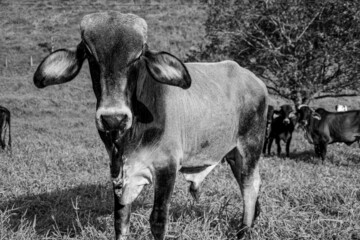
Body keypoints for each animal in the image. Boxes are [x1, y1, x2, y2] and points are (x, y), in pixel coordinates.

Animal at [33, 11, 268, 240]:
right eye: (90, 55)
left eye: (138, 56)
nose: (113, 118)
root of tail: (255, 80)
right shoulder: (118, 173)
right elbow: (121, 220)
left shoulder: (167, 167)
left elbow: (157, 220)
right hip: (233, 154)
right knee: (247, 183)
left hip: (250, 146)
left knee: (250, 185)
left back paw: (244, 230)